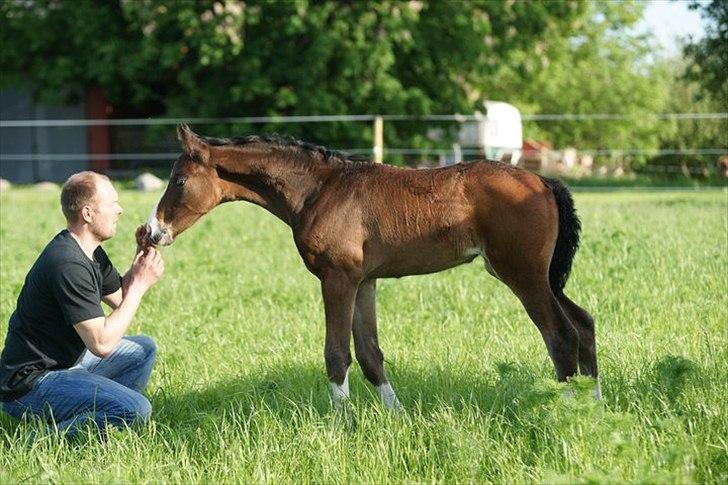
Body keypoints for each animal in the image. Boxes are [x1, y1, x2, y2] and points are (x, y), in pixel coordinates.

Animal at [149, 125, 604, 408]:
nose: (153, 231)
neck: (320, 190)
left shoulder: (337, 278)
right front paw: (397, 418)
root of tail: (543, 182)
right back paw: (595, 405)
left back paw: (567, 409)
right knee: (583, 323)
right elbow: (370, 355)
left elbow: (337, 354)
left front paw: (342, 426)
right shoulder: (364, 282)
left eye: (180, 181)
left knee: (561, 336)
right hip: (543, 278)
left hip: (523, 275)